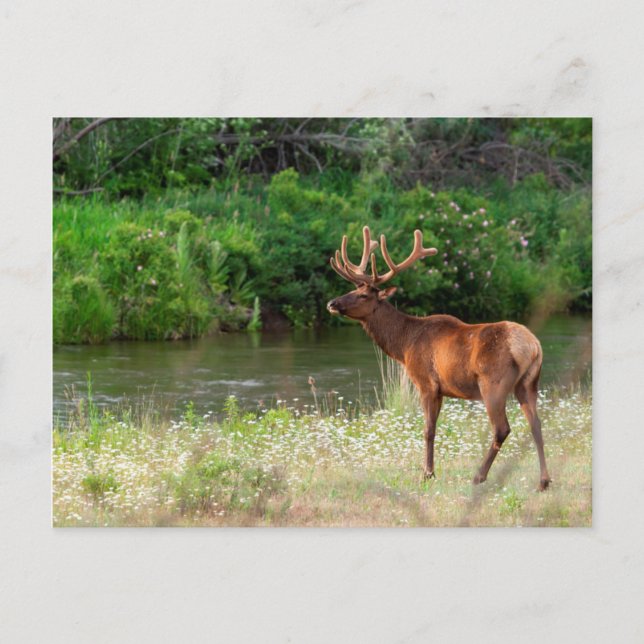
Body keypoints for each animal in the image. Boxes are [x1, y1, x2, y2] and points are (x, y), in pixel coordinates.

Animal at [327, 226, 551, 491]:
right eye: (352, 289)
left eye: (363, 295)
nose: (332, 303)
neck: (404, 345)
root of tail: (532, 346)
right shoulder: (442, 390)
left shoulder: (426, 383)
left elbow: (428, 430)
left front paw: (427, 474)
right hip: (528, 383)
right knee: (536, 425)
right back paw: (543, 481)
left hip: (493, 383)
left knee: (502, 428)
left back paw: (479, 476)